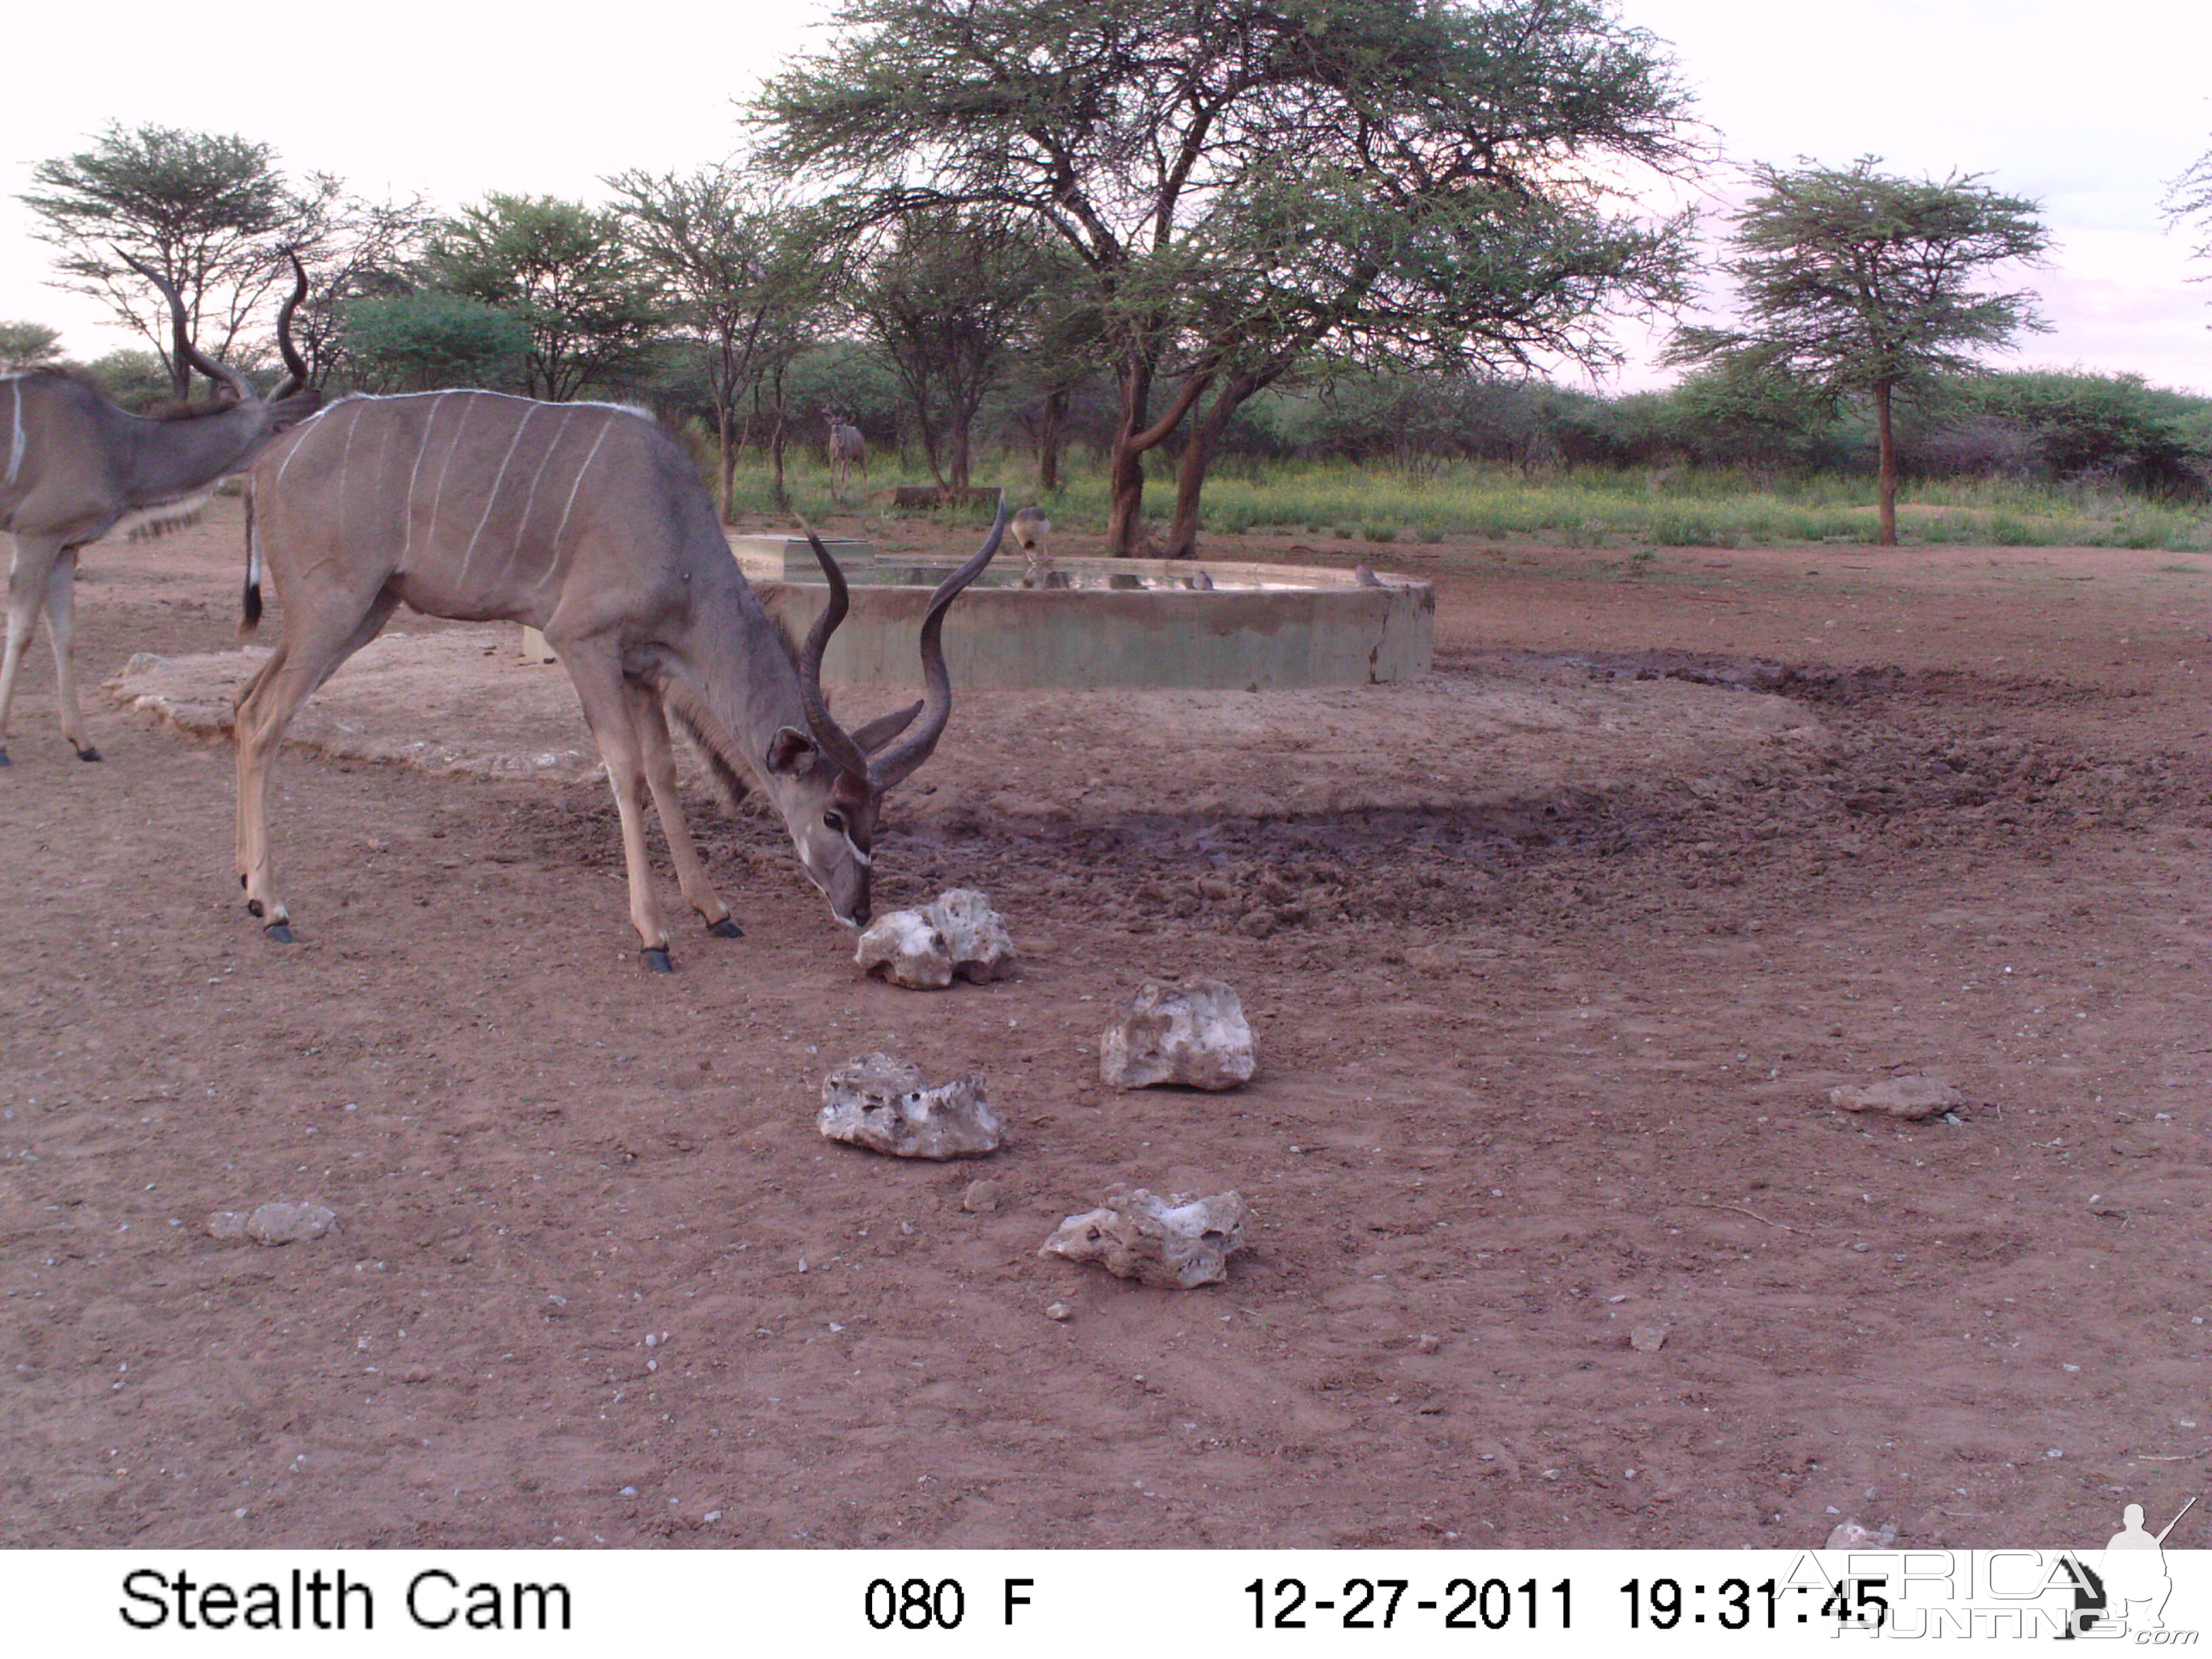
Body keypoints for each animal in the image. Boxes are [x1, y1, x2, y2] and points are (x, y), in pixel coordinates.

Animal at [1, 249, 316, 769]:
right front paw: (3, 747)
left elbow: (63, 633)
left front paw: (83, 742)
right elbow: (22, 631)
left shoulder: (65, 547)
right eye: (277, 429)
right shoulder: (36, 536)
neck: (116, 443)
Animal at [240, 389, 1004, 968]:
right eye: (833, 815)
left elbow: (665, 772)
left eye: (880, 816)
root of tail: (268, 459)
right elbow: (626, 771)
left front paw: (715, 910)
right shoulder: (583, 643)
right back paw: (275, 910)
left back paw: (248, 887)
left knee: (247, 700)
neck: (670, 518)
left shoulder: (644, 668)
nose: (858, 909)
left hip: (365, 612)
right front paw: (654, 935)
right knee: (262, 717)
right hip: (333, 612)